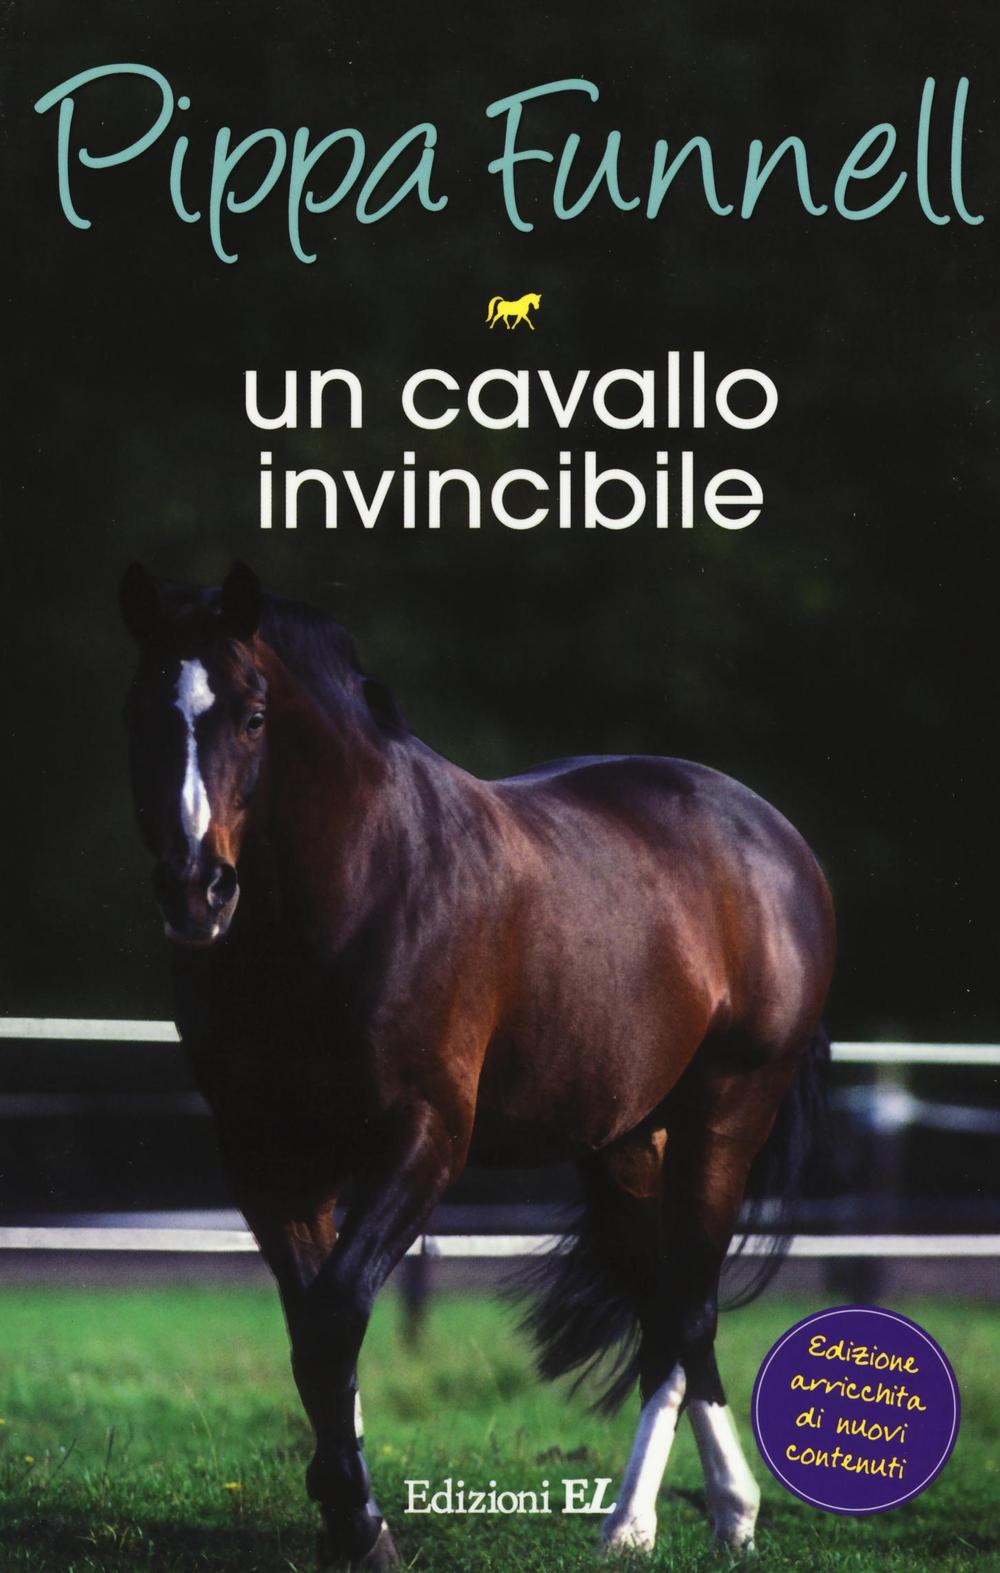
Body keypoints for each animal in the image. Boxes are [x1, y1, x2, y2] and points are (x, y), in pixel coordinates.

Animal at [119, 561, 835, 1569]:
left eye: (254, 714)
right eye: (140, 712)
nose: (195, 890)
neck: (355, 892)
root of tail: (774, 838)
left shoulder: (423, 1137)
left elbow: (336, 1315)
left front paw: (360, 1523)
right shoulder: (266, 1151)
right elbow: (310, 1330)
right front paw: (347, 1509)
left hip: (726, 1115)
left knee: (689, 1307)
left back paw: (677, 1515)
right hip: (623, 1140)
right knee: (663, 1310)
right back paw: (680, 1515)